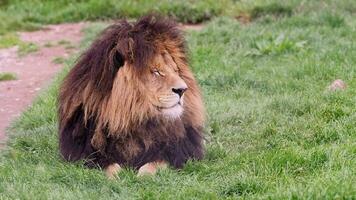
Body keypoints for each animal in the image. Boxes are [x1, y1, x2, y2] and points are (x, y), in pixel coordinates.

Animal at [57, 16, 204, 178]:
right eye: (156, 72)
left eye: (176, 71)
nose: (183, 90)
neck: (130, 119)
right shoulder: (87, 154)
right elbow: (108, 167)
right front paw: (116, 177)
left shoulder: (178, 153)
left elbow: (154, 164)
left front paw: (142, 177)